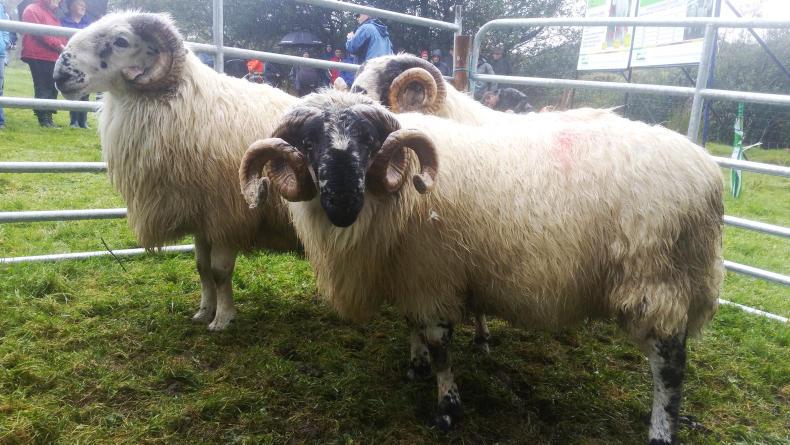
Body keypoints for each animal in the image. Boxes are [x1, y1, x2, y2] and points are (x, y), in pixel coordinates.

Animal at [52, 12, 302, 330]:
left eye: (121, 41)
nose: (60, 74)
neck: (186, 104)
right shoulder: (200, 217)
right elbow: (202, 268)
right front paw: (204, 312)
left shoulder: (227, 215)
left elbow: (220, 272)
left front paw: (222, 320)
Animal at [239, 90, 724, 444]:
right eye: (309, 143)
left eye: (368, 142)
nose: (342, 203)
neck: (399, 191)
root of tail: (708, 173)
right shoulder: (411, 274)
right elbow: (412, 326)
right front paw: (415, 367)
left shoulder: (434, 276)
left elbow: (439, 343)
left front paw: (446, 408)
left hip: (657, 279)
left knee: (670, 365)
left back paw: (661, 431)